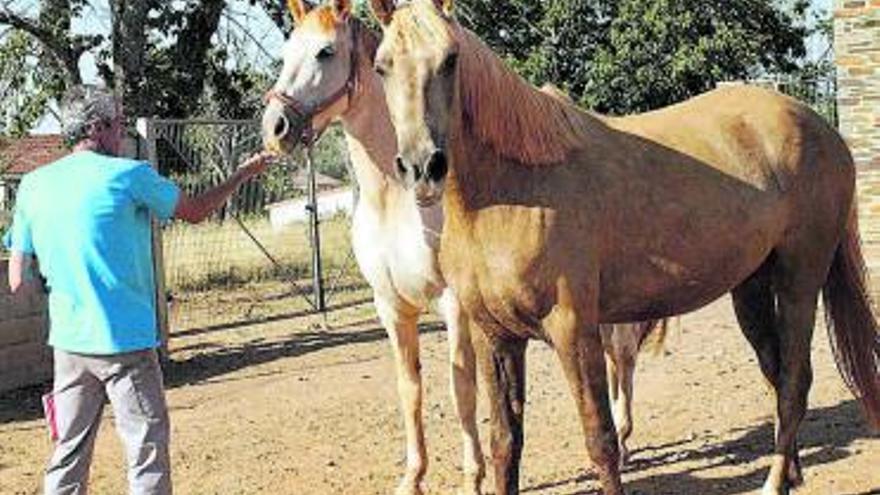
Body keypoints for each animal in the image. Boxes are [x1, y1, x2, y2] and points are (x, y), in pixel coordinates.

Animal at [260, 1, 668, 494]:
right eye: (285, 53)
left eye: (325, 52)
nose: (276, 128)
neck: (394, 202)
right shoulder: (391, 306)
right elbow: (410, 390)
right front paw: (412, 477)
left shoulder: (454, 304)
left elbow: (462, 390)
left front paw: (473, 475)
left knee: (621, 356)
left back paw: (624, 440)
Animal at [368, 0, 880, 495]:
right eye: (382, 66)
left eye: (450, 59)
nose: (422, 167)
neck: (512, 189)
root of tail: (821, 128)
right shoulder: (493, 336)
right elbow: (504, 444)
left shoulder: (574, 330)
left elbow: (601, 440)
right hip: (751, 287)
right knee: (776, 376)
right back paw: (790, 473)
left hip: (800, 281)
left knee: (794, 382)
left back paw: (774, 482)